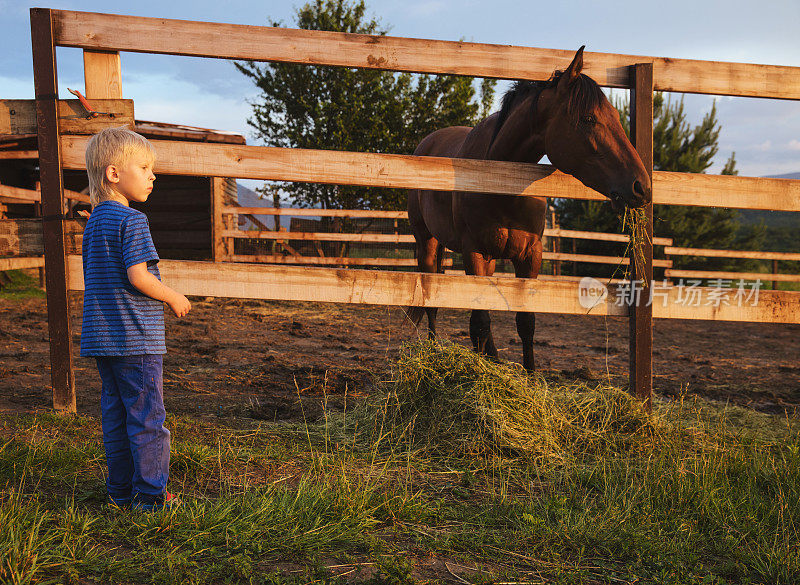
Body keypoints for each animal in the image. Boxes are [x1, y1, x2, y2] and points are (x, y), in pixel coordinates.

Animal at [410, 48, 652, 372]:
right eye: (588, 118)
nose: (642, 187)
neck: (501, 181)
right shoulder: (474, 252)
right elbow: (481, 318)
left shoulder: (530, 255)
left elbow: (525, 321)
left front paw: (531, 374)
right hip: (427, 242)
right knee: (432, 299)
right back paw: (433, 349)